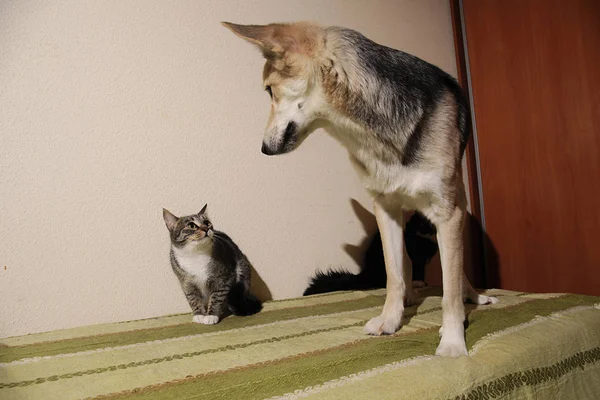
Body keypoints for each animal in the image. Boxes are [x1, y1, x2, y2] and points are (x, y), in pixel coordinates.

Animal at [223, 21, 500, 356]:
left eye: (268, 90)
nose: (263, 150)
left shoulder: (447, 214)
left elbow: (449, 291)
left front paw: (453, 340)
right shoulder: (385, 209)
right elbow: (394, 276)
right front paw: (390, 320)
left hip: (454, 208)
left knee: (456, 274)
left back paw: (474, 297)